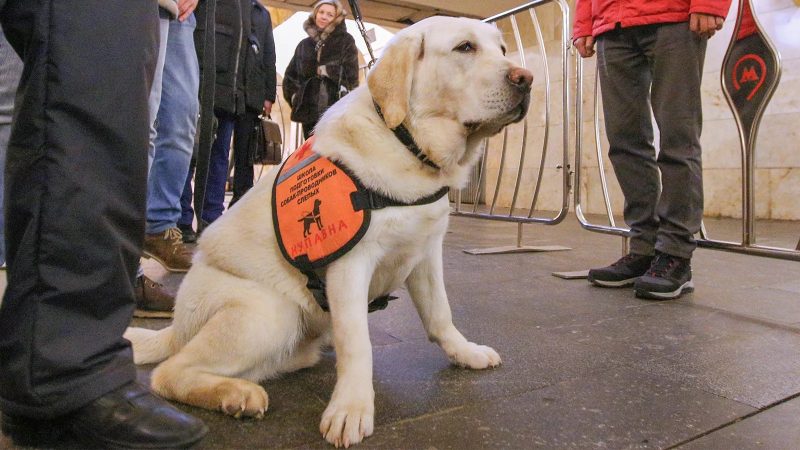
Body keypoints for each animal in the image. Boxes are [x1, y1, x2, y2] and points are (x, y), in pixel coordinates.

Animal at [126, 15, 532, 448]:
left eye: (502, 49)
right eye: (464, 48)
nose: (527, 79)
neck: (406, 143)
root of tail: (175, 329)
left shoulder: (425, 253)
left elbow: (440, 315)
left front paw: (465, 352)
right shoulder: (350, 266)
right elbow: (358, 344)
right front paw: (351, 408)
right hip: (269, 311)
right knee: (169, 372)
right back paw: (236, 394)